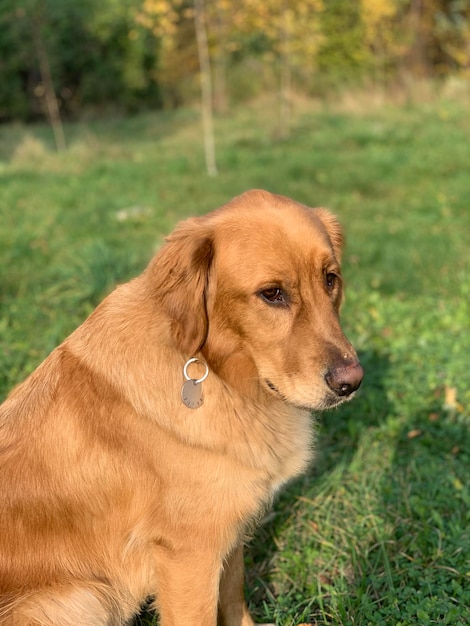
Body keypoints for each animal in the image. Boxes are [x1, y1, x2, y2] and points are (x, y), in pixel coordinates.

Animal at [0, 190, 364, 624]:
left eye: (330, 279)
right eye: (272, 293)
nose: (351, 382)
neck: (218, 371)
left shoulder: (227, 531)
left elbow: (234, 600)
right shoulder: (189, 554)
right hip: (81, 597)